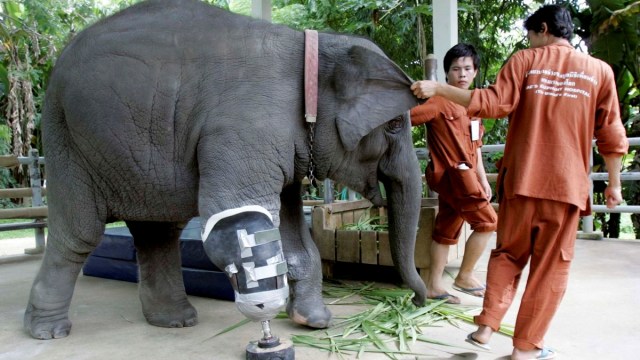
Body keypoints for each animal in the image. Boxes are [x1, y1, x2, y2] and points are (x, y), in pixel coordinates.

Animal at [23, 0, 424, 340]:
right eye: (393, 126)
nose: (417, 301)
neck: (313, 44)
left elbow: (292, 229)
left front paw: (315, 321)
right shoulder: (245, 130)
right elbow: (235, 220)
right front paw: (269, 318)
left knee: (159, 233)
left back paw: (175, 321)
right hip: (69, 140)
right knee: (80, 233)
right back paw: (47, 331)